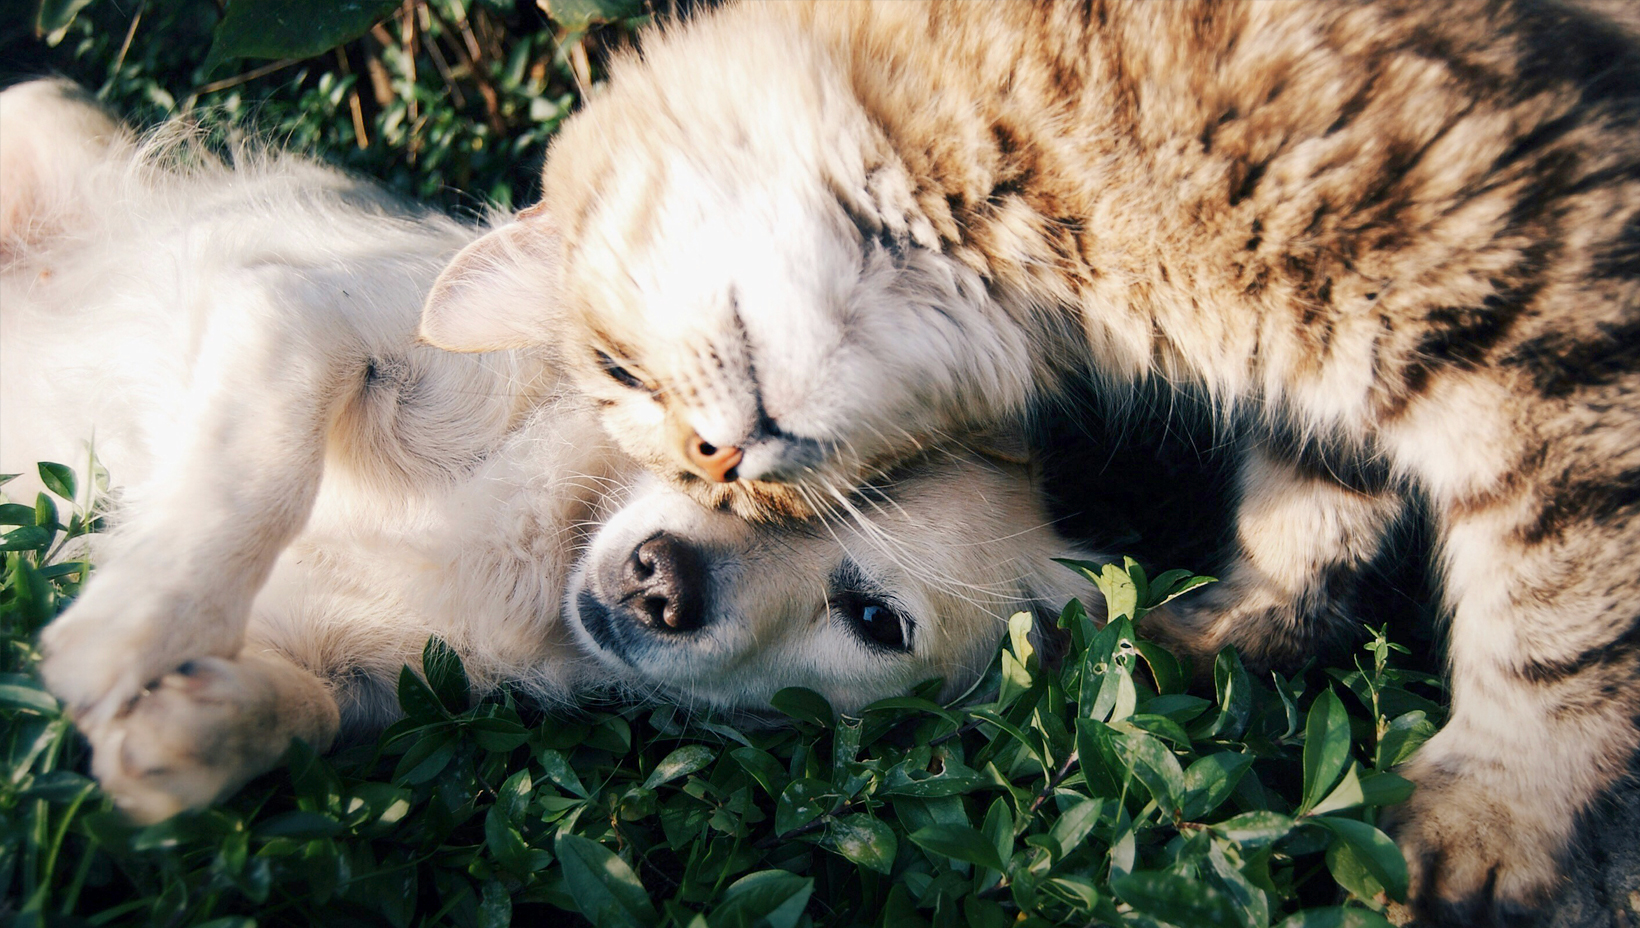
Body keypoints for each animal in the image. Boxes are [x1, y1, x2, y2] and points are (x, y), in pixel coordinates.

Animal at [3, 76, 1102, 823]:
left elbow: (307, 712)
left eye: (874, 620)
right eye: (718, 450)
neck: (549, 541)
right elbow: (254, 477)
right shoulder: (304, 314)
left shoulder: (366, 676)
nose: (663, 582)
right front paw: (135, 627)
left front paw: (195, 729)